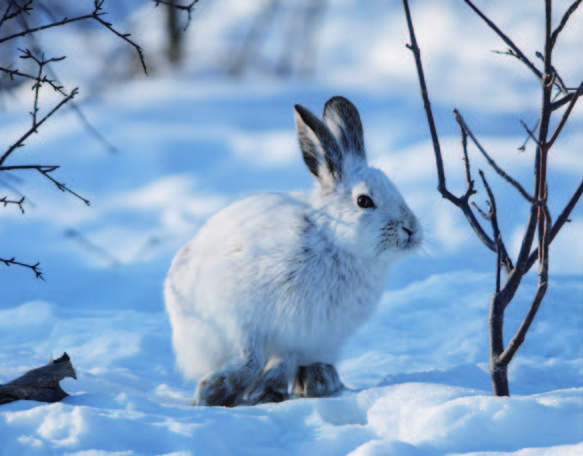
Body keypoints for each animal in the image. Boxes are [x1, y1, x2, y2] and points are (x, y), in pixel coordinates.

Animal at [162, 96, 422, 406]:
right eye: (364, 201)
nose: (411, 230)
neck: (332, 240)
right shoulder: (241, 319)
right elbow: (250, 357)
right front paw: (213, 392)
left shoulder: (301, 336)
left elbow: (281, 362)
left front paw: (265, 393)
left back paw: (319, 380)